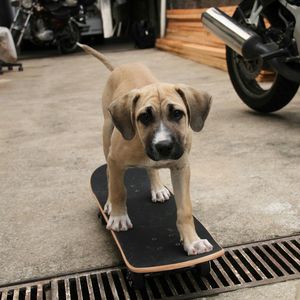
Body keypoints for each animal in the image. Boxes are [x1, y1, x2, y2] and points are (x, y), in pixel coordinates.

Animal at [77, 44, 213, 255]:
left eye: (177, 114)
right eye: (144, 117)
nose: (164, 146)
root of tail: (120, 67)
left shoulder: (181, 167)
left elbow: (185, 209)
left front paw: (193, 241)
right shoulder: (115, 159)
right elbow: (118, 189)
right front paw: (119, 217)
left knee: (151, 169)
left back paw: (157, 188)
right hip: (107, 132)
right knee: (109, 173)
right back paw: (109, 204)